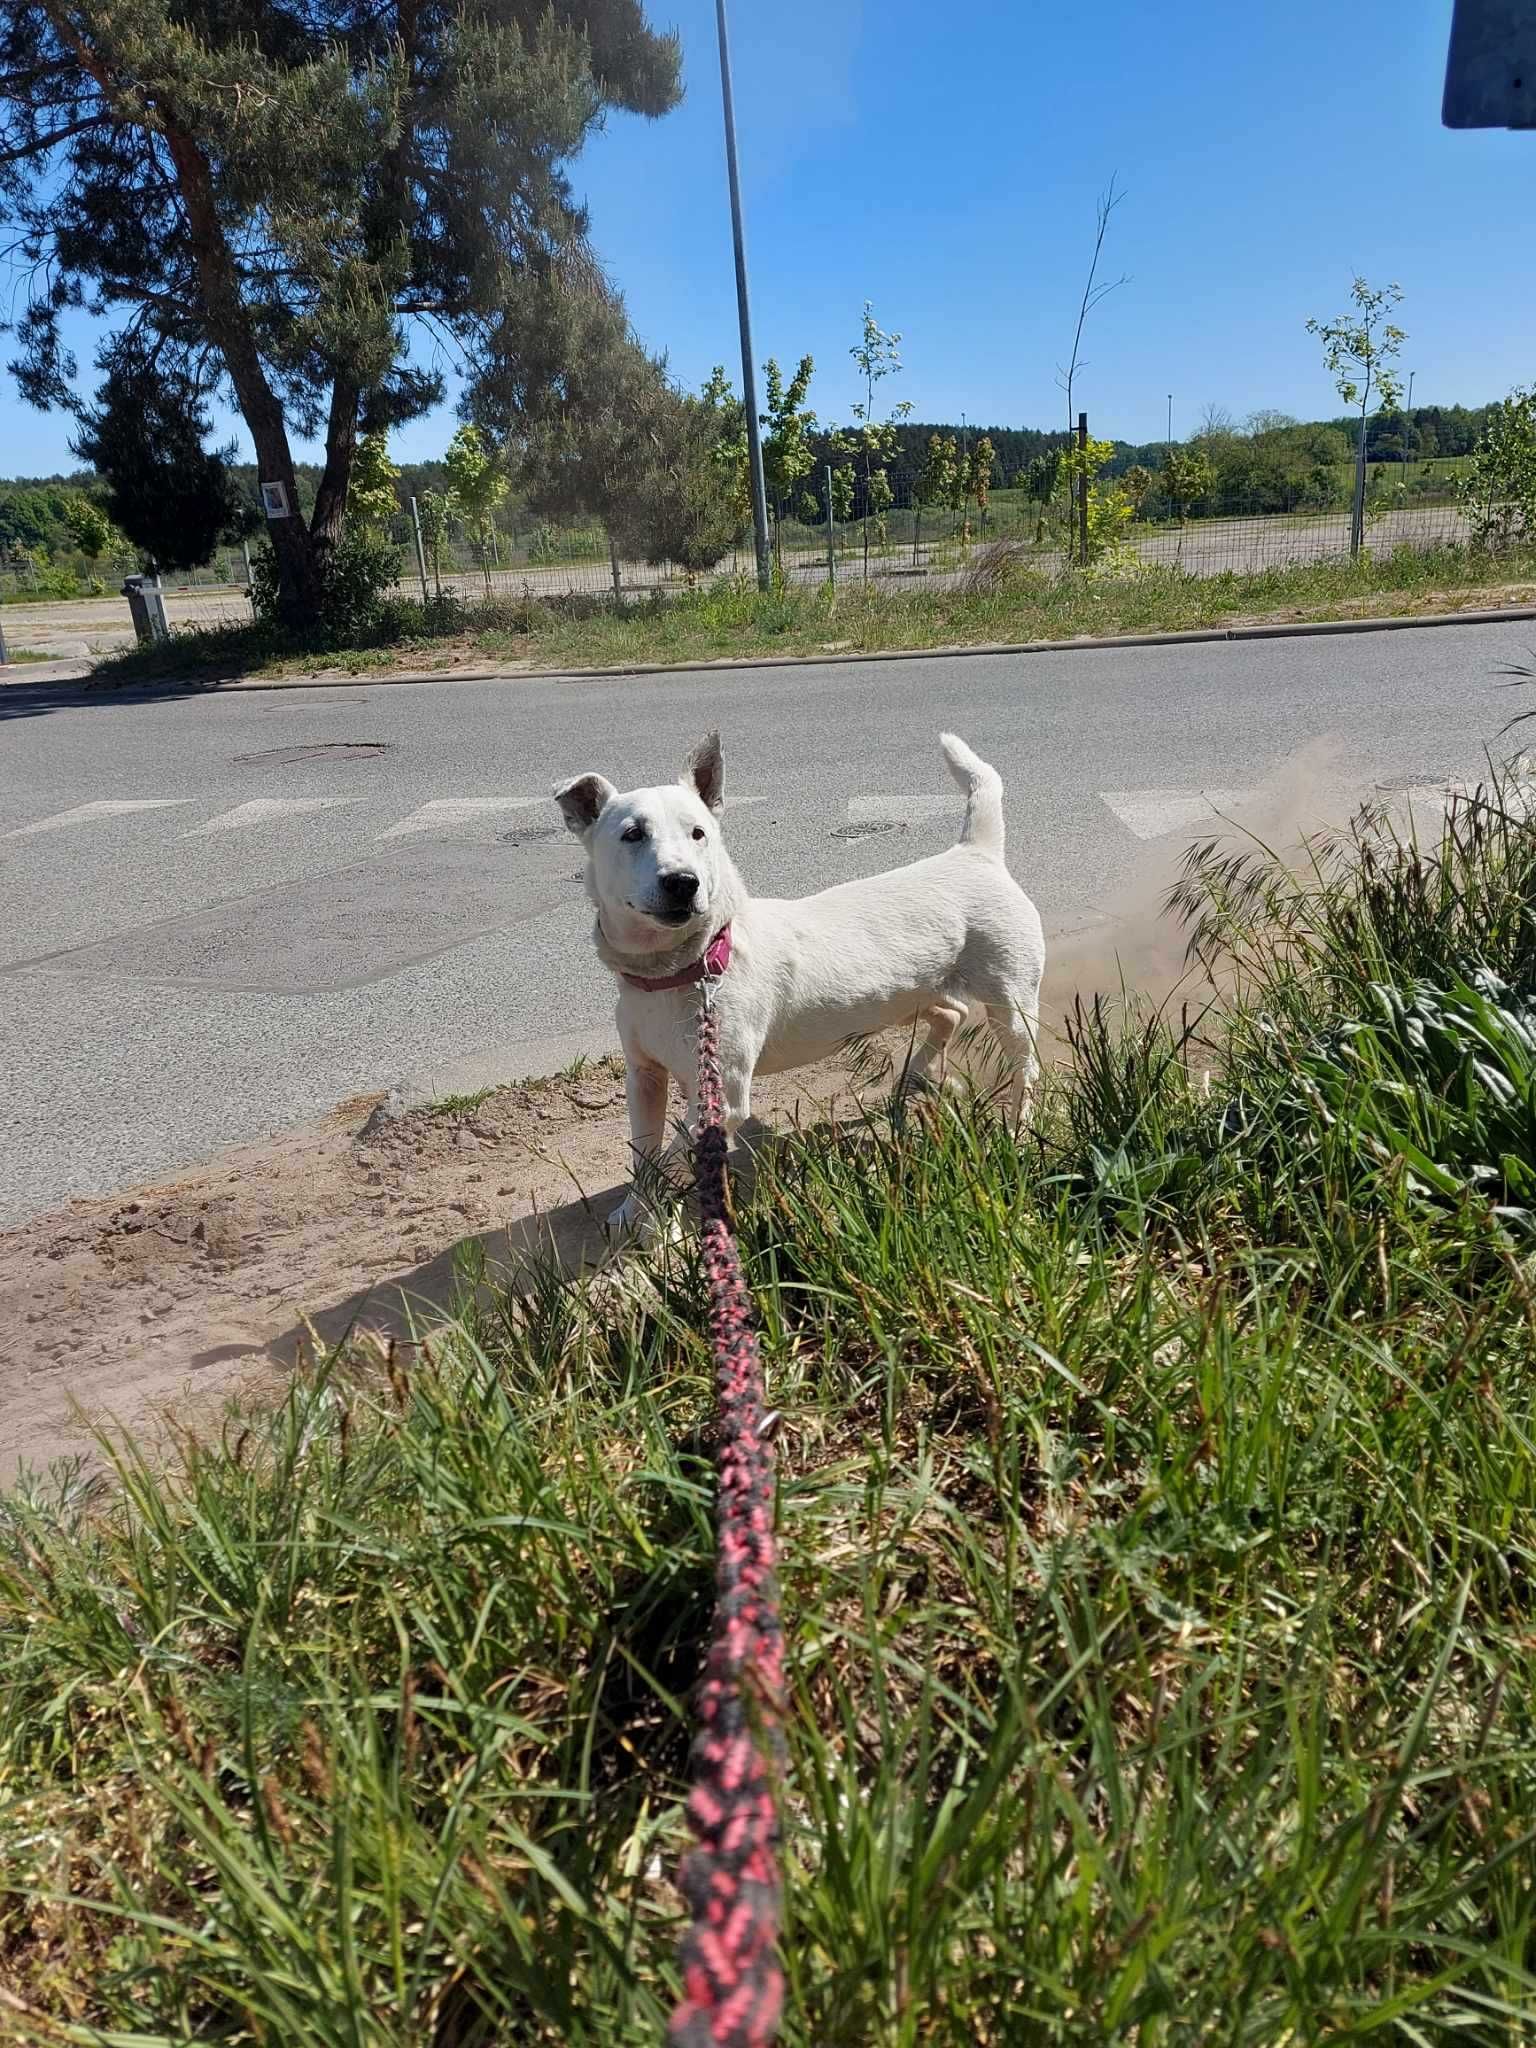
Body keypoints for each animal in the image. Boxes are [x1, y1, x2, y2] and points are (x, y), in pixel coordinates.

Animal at [552, 737, 1048, 1228]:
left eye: (698, 833)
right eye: (632, 834)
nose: (682, 882)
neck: (689, 965)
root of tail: (975, 854)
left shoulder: (720, 1100)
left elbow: (670, 1161)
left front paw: (658, 1222)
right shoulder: (643, 1077)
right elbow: (643, 1154)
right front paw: (632, 1211)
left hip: (1010, 1001)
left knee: (1024, 1064)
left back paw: (1018, 1131)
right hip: (909, 991)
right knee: (952, 1011)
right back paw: (917, 1073)